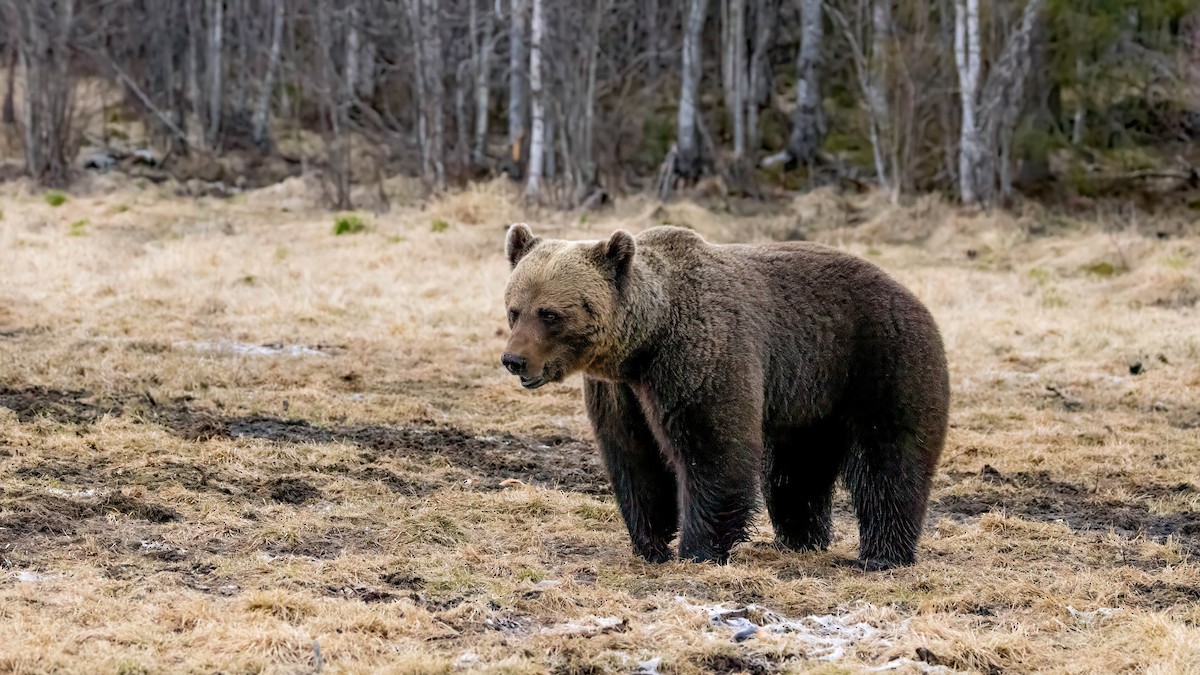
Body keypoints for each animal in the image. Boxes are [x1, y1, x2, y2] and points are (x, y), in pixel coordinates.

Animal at [500, 223, 949, 569]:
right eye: (514, 309)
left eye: (550, 314)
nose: (514, 360)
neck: (644, 344)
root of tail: (910, 293)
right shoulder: (620, 392)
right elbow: (634, 458)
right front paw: (650, 544)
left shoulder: (700, 358)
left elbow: (713, 448)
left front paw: (699, 549)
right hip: (807, 396)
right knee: (795, 471)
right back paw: (799, 538)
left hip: (879, 362)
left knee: (889, 460)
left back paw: (883, 554)